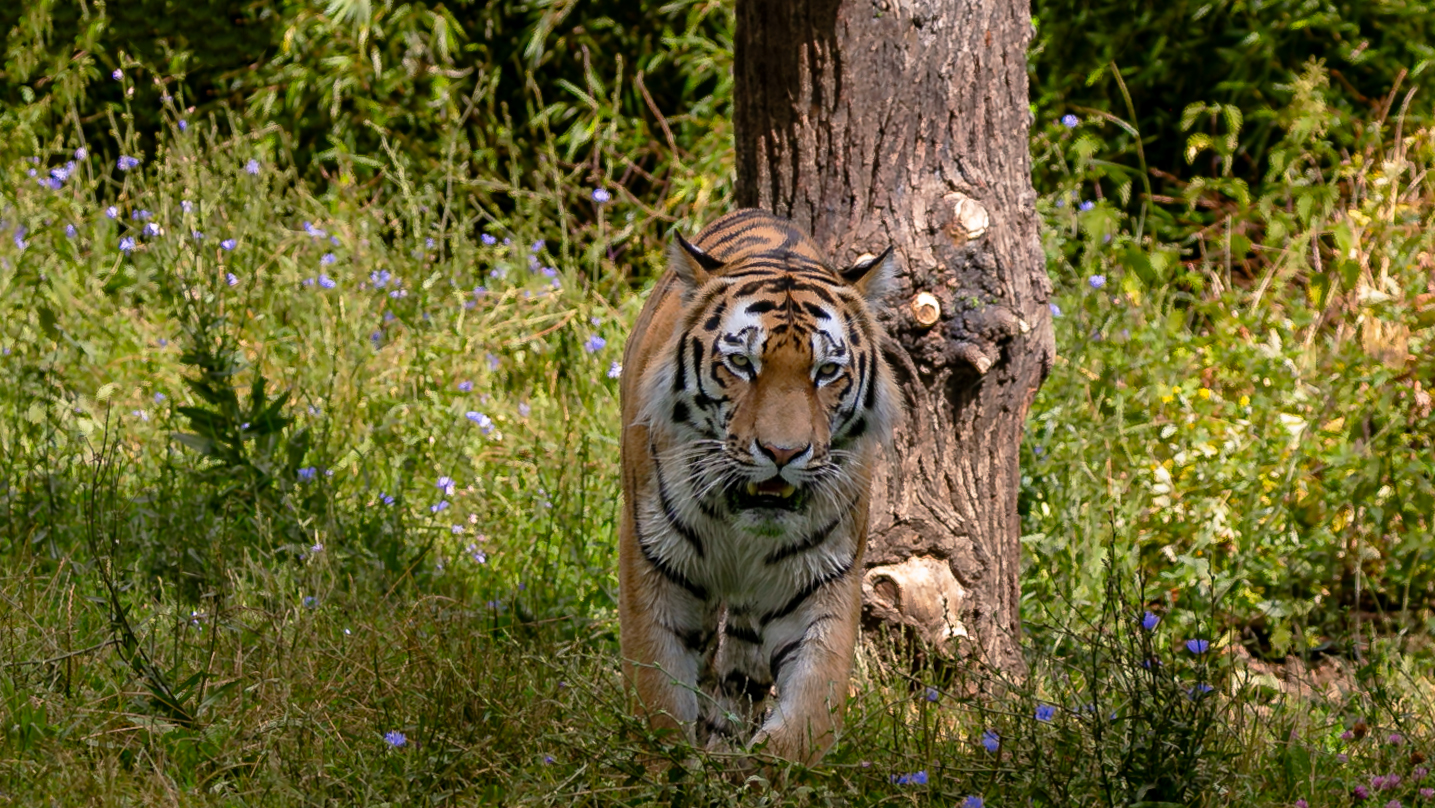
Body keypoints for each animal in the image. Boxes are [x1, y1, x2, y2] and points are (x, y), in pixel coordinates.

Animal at [617, 206, 895, 763]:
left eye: (826, 371)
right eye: (742, 364)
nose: (783, 453)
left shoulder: (822, 577)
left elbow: (812, 703)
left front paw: (767, 766)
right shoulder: (654, 564)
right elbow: (658, 692)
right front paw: (665, 763)